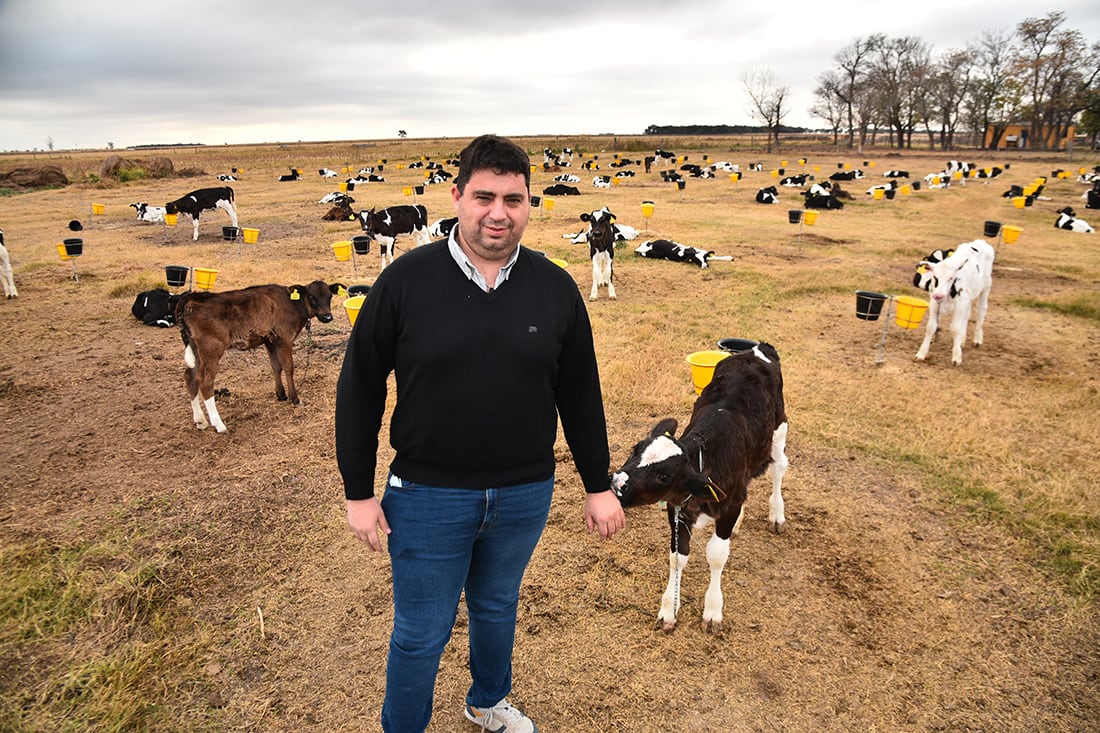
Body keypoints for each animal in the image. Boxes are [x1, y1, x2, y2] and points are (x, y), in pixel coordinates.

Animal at [176, 278, 343, 429]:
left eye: (330, 296)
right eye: (312, 297)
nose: (327, 317)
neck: (292, 303)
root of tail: (193, 298)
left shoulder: (270, 340)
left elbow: (276, 366)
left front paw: (281, 395)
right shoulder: (285, 338)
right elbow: (288, 367)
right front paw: (294, 399)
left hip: (195, 349)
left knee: (190, 376)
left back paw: (200, 421)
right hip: (211, 348)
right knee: (205, 382)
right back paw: (218, 424)